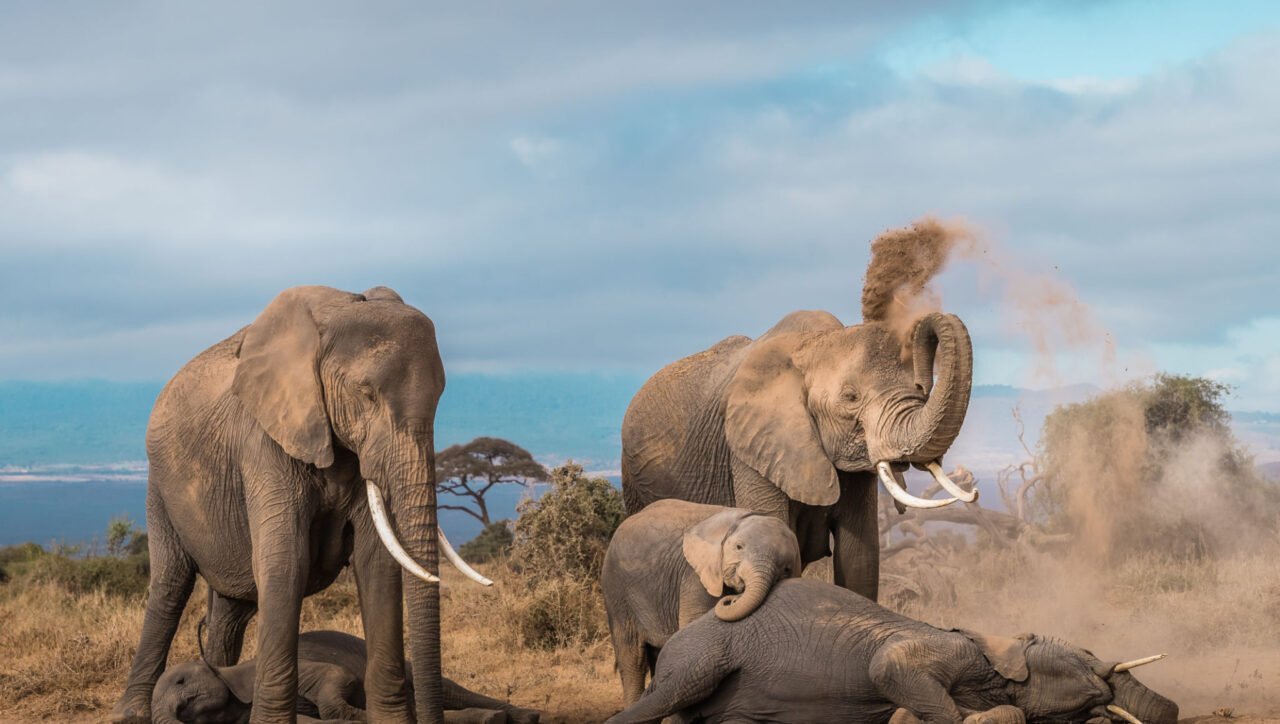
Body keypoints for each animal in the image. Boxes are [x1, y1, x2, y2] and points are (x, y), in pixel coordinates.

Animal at [113, 285, 493, 724]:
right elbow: (286, 561)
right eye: (366, 394)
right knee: (171, 585)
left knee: (229, 610)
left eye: (439, 396)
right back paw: (131, 712)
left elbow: (376, 562)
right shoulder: (264, 440)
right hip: (159, 486)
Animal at [601, 499, 802, 705]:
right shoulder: (694, 577)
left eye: (786, 568)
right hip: (616, 589)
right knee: (632, 657)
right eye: (739, 547)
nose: (734, 597)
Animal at [604, 579, 1177, 724]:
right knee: (670, 693)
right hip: (704, 651)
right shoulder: (944, 648)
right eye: (1086, 657)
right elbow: (889, 667)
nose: (1174, 712)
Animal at [621, 310, 976, 600]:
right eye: (851, 397)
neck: (814, 344)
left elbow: (859, 558)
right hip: (634, 479)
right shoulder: (750, 448)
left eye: (917, 387)